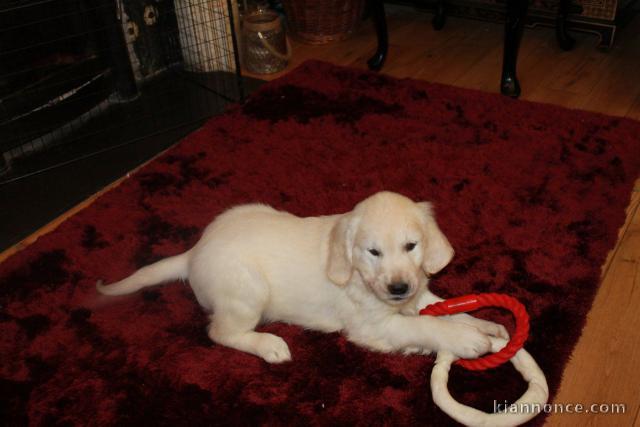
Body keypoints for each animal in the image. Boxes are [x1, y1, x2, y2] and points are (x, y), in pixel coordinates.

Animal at [97, 192, 504, 362]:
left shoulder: (419, 295)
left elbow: (449, 309)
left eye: (411, 246)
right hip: (248, 292)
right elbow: (426, 325)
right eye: (373, 252)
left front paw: (487, 327)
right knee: (220, 332)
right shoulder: (372, 325)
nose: (398, 288)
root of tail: (194, 252)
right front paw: (465, 339)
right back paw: (269, 346)